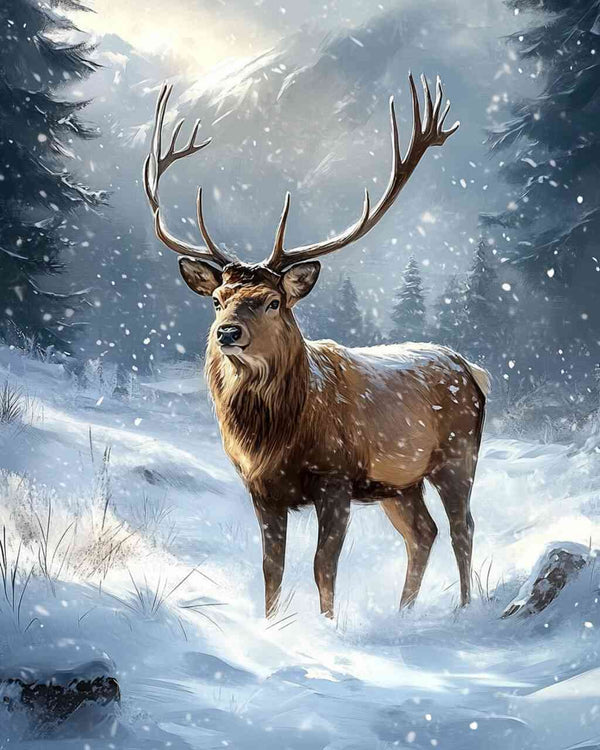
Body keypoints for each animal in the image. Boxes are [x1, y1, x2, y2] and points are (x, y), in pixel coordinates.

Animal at [143, 75, 489, 619]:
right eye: (217, 300)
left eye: (271, 301)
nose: (227, 333)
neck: (274, 437)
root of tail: (472, 368)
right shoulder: (262, 490)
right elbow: (272, 570)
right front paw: (270, 627)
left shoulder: (336, 478)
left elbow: (322, 568)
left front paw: (327, 627)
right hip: (399, 482)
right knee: (423, 532)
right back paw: (403, 612)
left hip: (458, 454)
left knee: (462, 527)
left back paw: (463, 609)